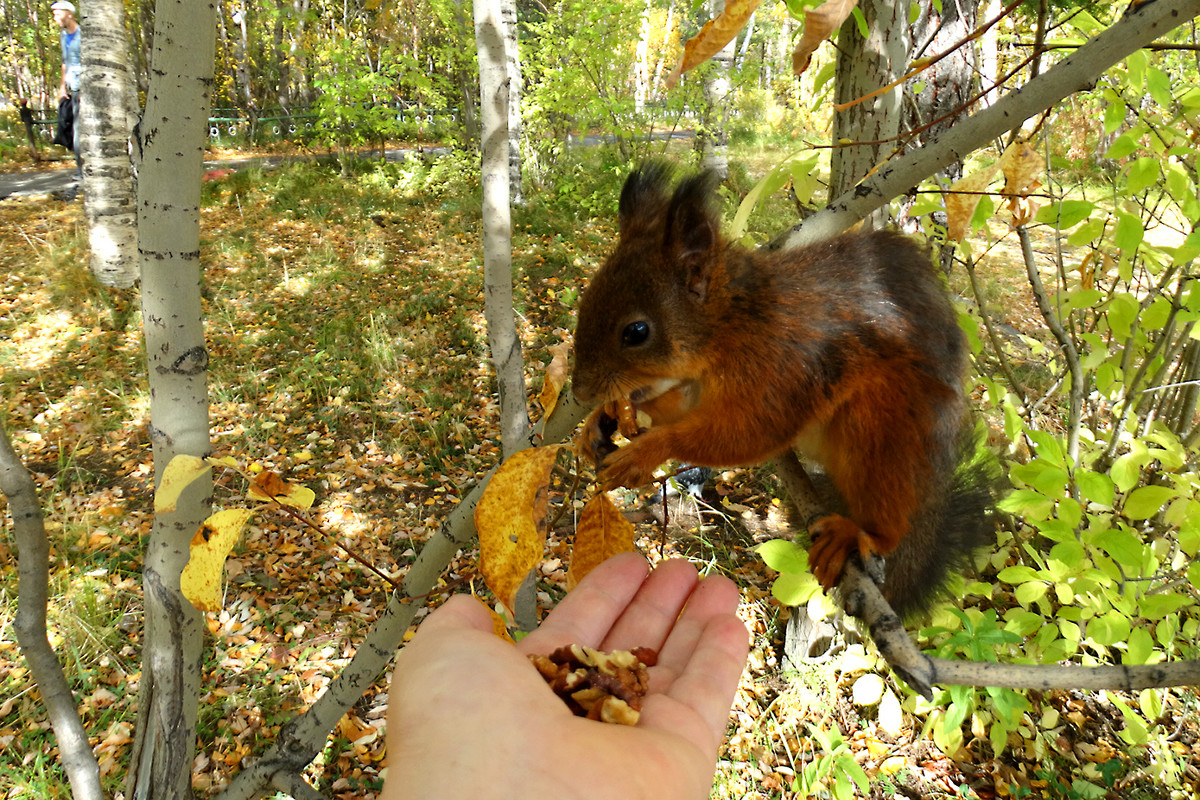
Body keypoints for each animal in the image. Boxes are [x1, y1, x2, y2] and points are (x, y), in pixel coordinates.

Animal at [568, 160, 993, 614]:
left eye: (636, 332)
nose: (580, 393)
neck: (736, 319)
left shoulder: (781, 369)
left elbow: (748, 431)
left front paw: (644, 451)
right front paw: (604, 416)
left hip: (885, 431)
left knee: (889, 518)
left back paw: (858, 534)